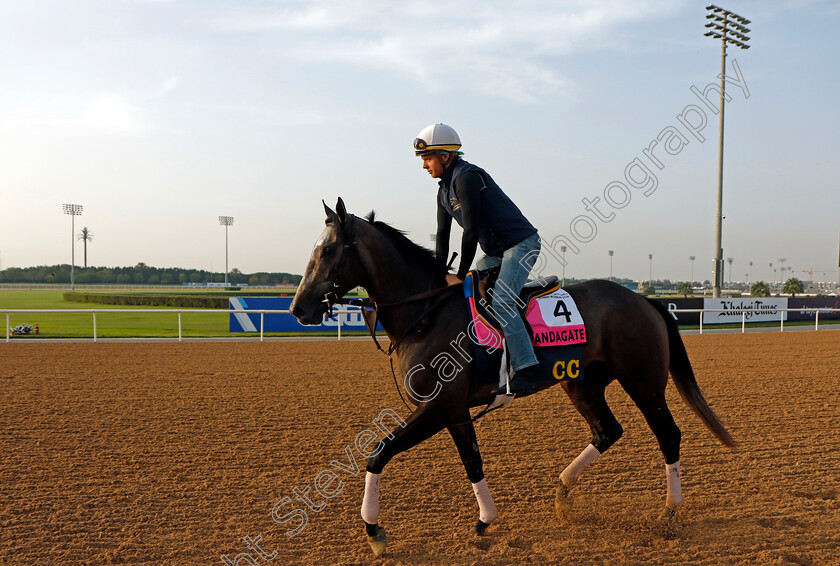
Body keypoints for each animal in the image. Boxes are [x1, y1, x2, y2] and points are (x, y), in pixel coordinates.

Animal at [290, 200, 736, 560]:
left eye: (327, 250)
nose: (298, 308)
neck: (426, 315)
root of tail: (643, 299)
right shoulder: (453, 411)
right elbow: (471, 461)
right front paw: (485, 520)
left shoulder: (438, 407)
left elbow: (380, 453)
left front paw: (374, 531)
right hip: (581, 384)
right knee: (607, 430)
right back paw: (562, 493)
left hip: (643, 382)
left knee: (668, 434)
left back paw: (669, 511)